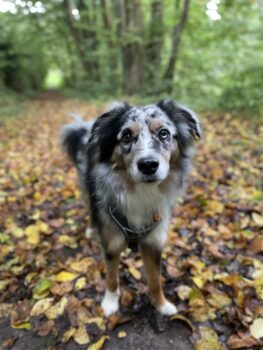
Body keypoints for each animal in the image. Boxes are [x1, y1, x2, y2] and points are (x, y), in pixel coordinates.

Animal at [61, 99, 202, 318]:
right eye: (126, 136)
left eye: (164, 133)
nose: (148, 165)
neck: (141, 191)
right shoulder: (111, 243)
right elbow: (112, 278)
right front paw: (110, 304)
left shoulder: (153, 244)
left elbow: (155, 281)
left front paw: (162, 305)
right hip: (88, 188)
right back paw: (92, 229)